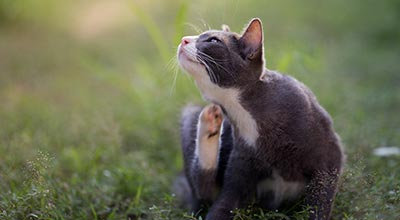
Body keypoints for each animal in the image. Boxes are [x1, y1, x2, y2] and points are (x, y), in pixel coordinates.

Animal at [174, 18, 344, 219]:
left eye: (213, 41)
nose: (183, 39)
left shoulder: (329, 155)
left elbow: (321, 199)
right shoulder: (242, 159)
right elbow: (223, 202)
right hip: (189, 115)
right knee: (202, 190)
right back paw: (210, 123)